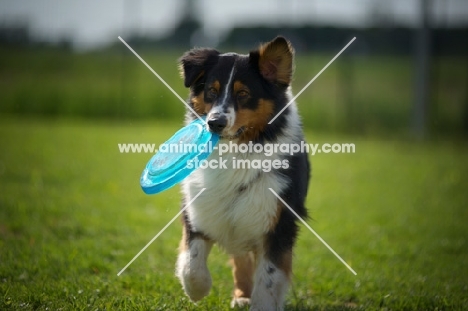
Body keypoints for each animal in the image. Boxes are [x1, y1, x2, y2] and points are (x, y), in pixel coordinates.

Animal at [176, 36, 310, 310]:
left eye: (243, 94)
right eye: (211, 91)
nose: (214, 123)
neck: (235, 151)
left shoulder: (277, 221)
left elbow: (269, 278)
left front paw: (261, 303)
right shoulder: (199, 206)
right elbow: (191, 262)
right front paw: (197, 290)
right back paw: (241, 295)